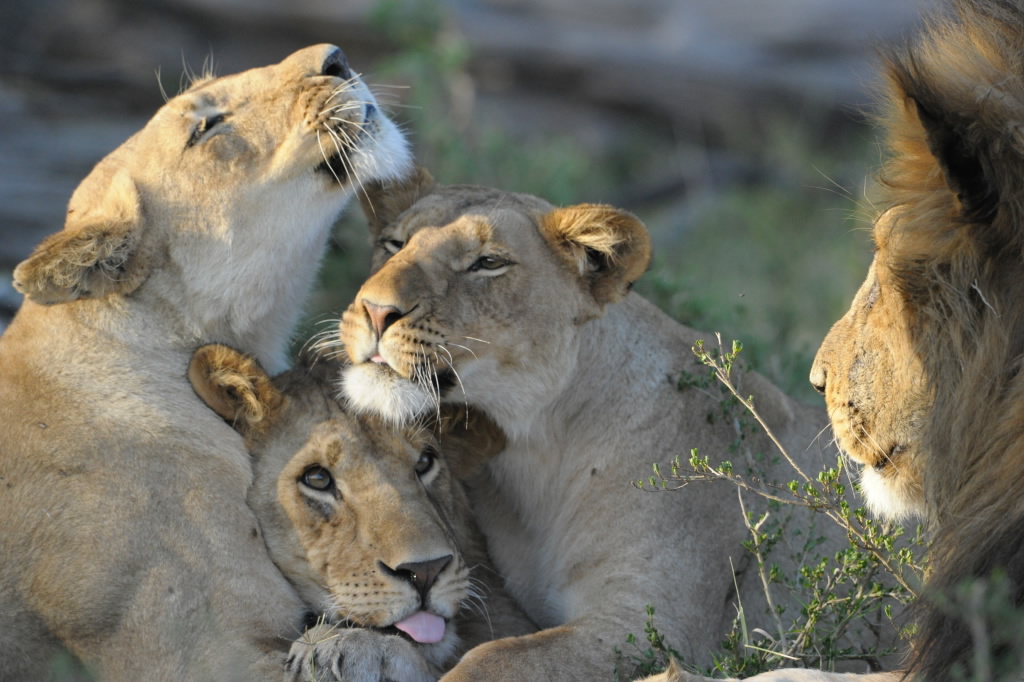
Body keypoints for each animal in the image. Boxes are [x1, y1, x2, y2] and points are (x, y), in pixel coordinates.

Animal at [333, 168, 872, 675]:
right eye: (393, 243)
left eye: (488, 263)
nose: (375, 311)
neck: (535, 453)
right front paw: (350, 648)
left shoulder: (653, 626)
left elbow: (497, 658)